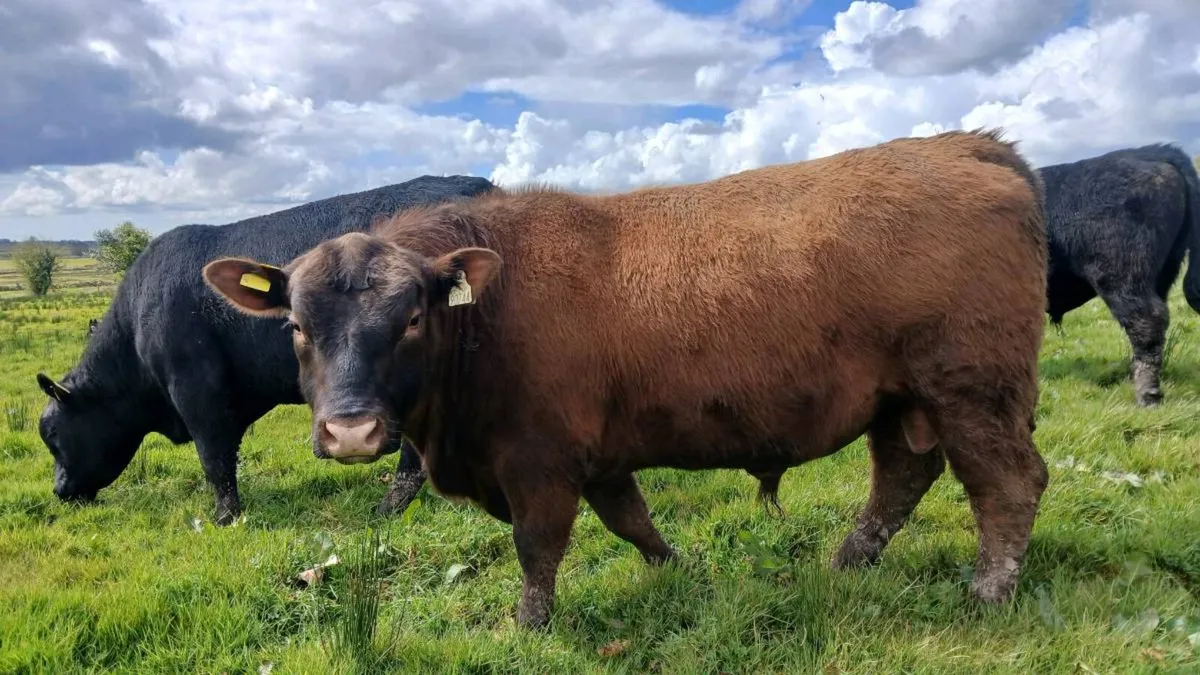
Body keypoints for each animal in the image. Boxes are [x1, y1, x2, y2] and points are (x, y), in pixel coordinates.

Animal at [35, 175, 494, 525]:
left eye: (52, 435)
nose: (59, 490)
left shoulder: (196, 389)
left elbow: (214, 459)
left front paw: (225, 518)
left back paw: (388, 508)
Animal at [202, 129, 1050, 628]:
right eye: (297, 325)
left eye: (410, 316)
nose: (350, 429)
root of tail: (972, 145)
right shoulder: (600, 456)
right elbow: (632, 521)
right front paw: (681, 571)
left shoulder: (539, 464)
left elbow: (539, 546)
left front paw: (530, 625)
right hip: (900, 400)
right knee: (901, 477)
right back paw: (846, 562)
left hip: (970, 390)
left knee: (1006, 482)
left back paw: (987, 590)